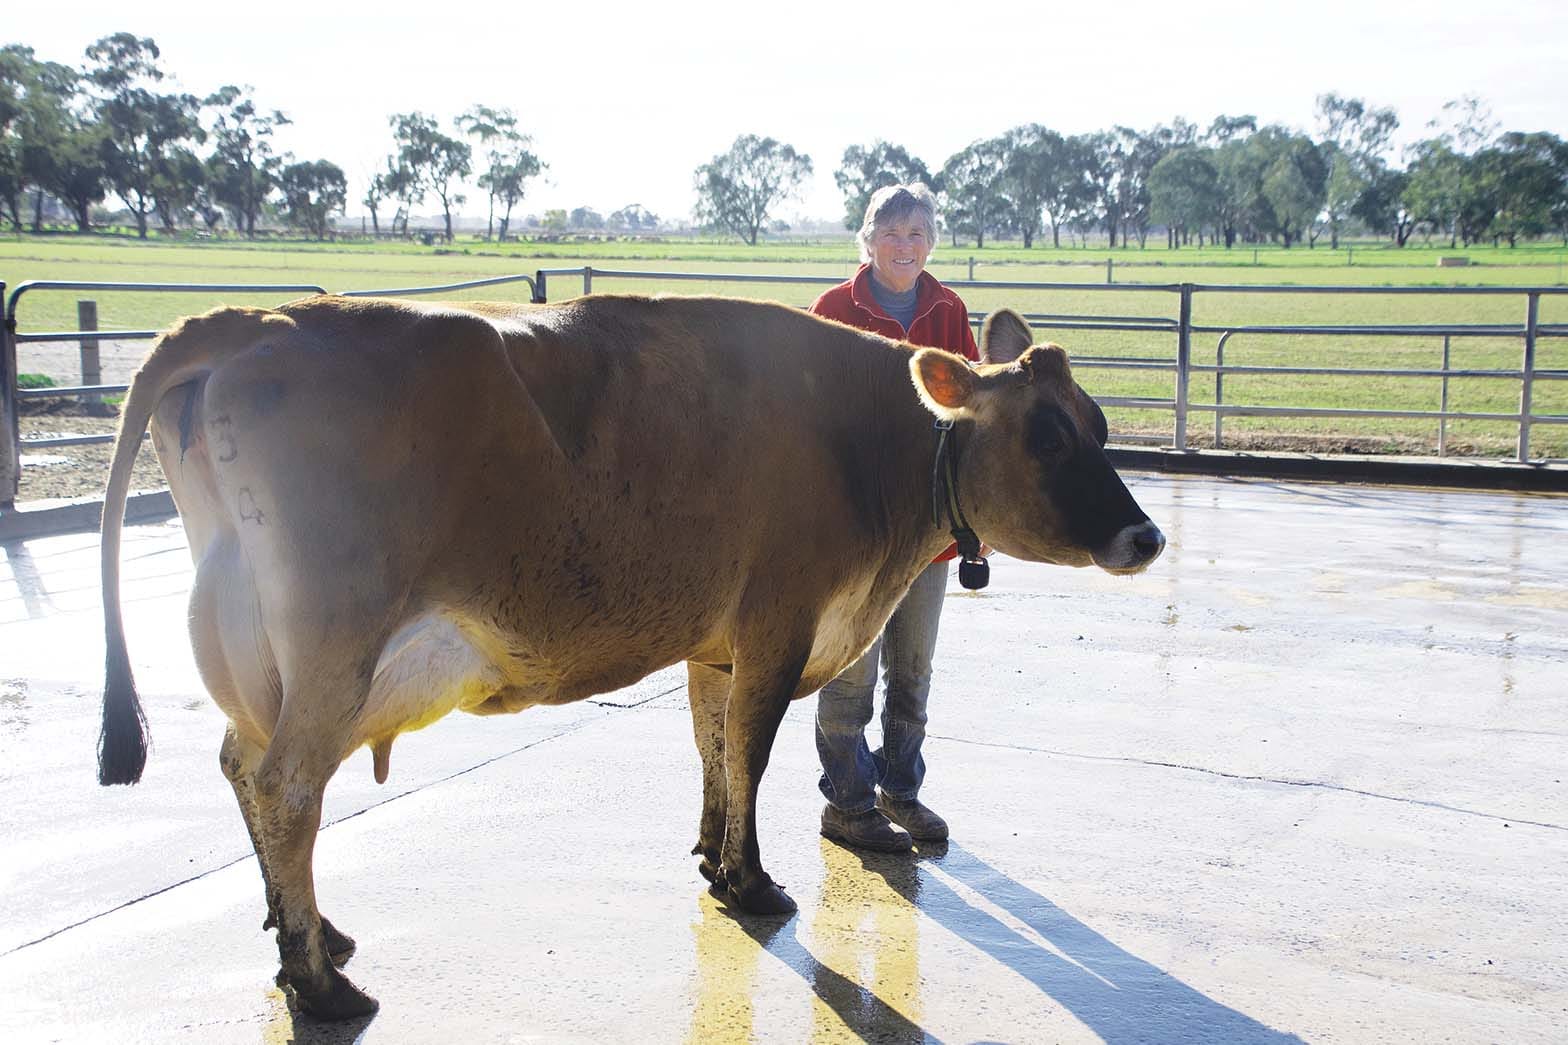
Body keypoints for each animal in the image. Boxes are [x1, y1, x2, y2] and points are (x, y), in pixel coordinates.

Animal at [97, 294, 1163, 1018]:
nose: (1147, 536)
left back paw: (311, 933)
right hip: (332, 645)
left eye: (1100, 424)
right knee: (286, 788)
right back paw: (319, 983)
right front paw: (751, 882)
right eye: (1047, 433)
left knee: (242, 766)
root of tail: (256, 316)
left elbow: (710, 746)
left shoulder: (716, 641)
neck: (868, 444)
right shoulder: (778, 621)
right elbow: (750, 750)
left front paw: (709, 853)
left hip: (251, 649)